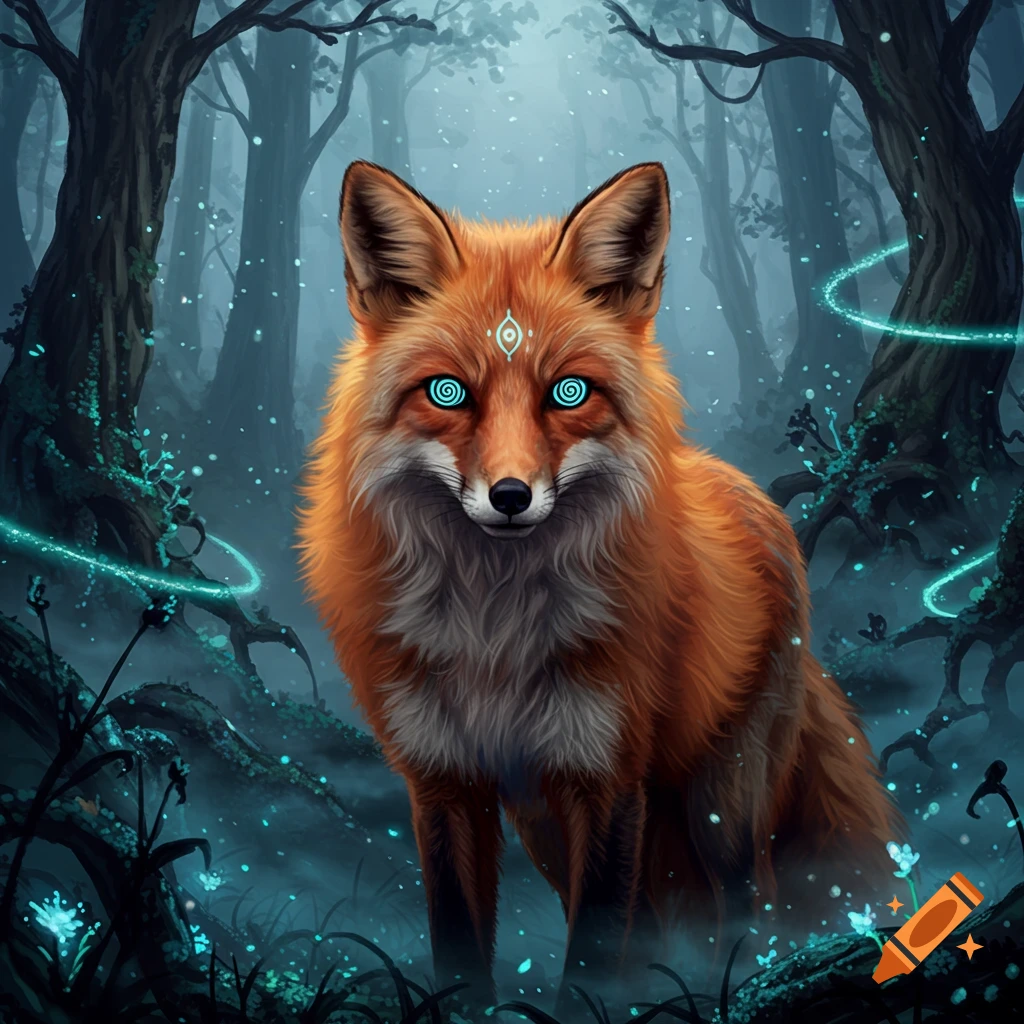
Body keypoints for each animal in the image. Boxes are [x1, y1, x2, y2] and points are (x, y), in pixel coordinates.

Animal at [298, 160, 903, 1012]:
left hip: (720, 804)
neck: (494, 631)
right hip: (547, 826)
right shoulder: (445, 782)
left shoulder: (608, 779)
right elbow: (461, 952)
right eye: (448, 393)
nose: (510, 496)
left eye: (568, 393)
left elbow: (589, 960)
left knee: (748, 903)